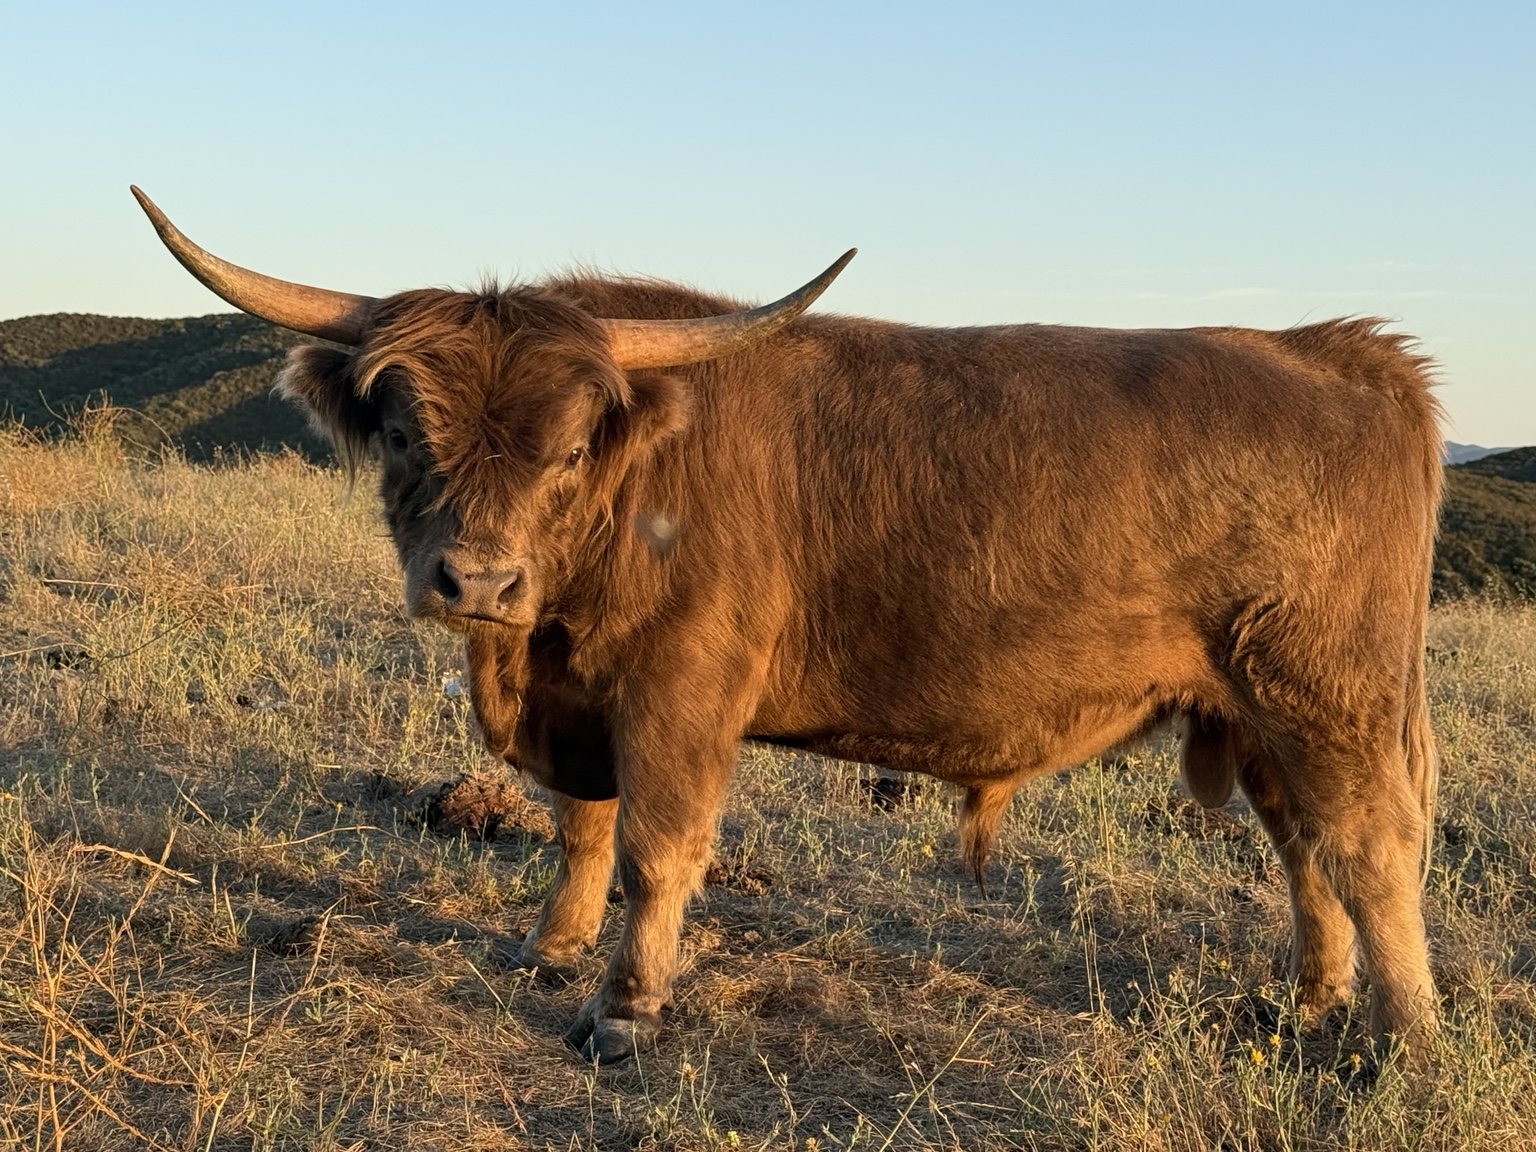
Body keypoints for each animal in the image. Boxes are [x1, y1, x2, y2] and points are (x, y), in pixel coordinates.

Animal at [132, 187, 1442, 1065]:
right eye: (407, 432)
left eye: (570, 448)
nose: (479, 583)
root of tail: (1338, 351)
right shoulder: (583, 695)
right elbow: (581, 831)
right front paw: (551, 949)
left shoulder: (681, 688)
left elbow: (657, 848)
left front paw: (624, 1008)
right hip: (1258, 713)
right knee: (1305, 850)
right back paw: (1311, 1005)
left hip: (1326, 695)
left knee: (1371, 848)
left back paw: (1401, 1041)